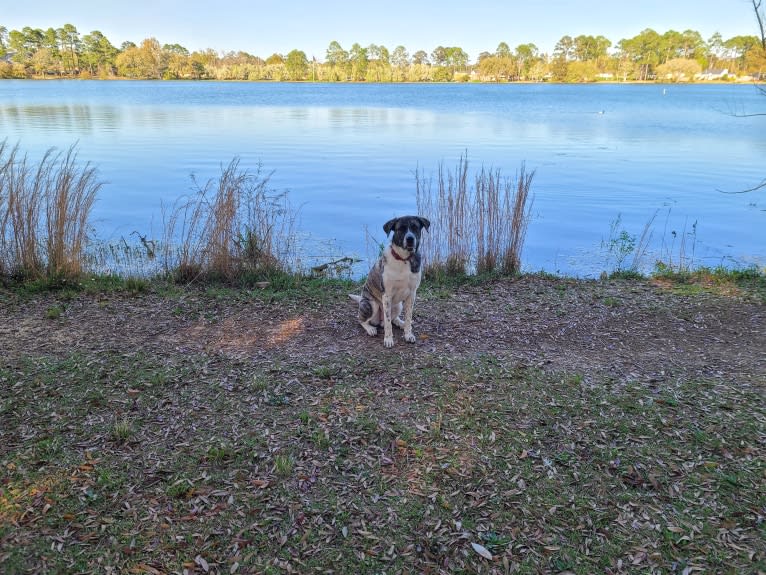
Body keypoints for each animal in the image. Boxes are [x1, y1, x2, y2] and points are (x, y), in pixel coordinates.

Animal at [352, 217, 432, 346]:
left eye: (415, 227)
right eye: (401, 229)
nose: (410, 239)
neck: (404, 259)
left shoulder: (412, 294)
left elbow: (408, 317)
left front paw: (408, 334)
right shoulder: (387, 295)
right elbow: (388, 322)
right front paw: (388, 339)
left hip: (398, 305)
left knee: (393, 319)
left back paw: (401, 323)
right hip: (371, 304)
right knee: (362, 319)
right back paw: (370, 329)